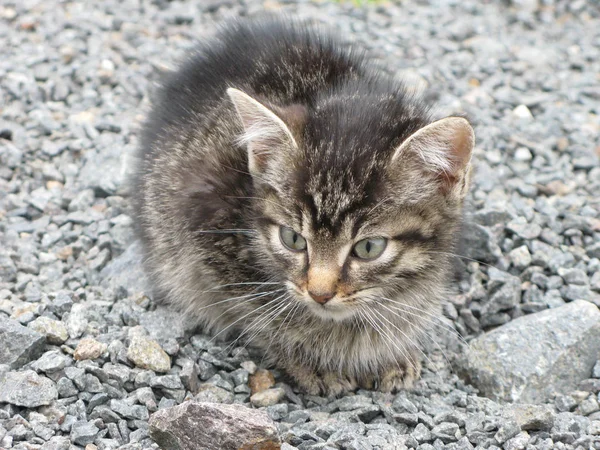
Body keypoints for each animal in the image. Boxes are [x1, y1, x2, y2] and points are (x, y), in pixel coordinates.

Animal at [134, 18, 476, 394]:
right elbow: (260, 317)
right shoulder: (207, 240)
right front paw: (312, 359)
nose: (319, 294)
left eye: (369, 247)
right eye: (293, 239)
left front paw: (391, 350)